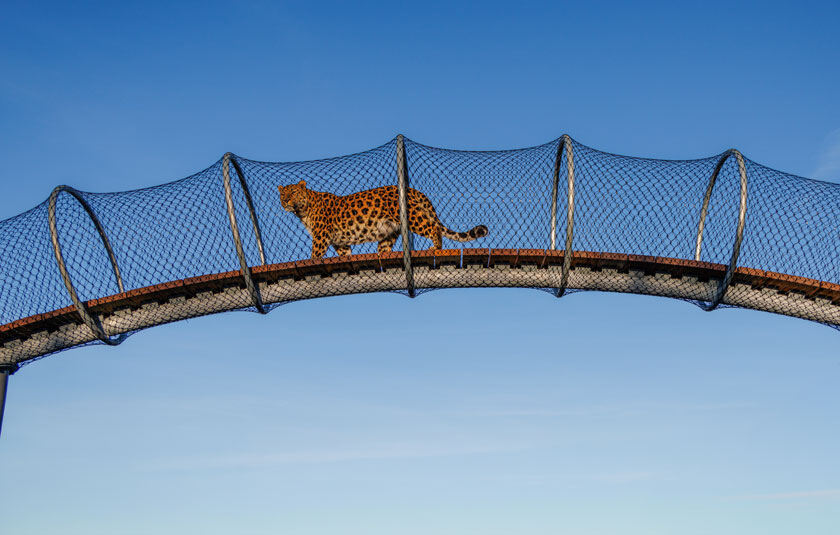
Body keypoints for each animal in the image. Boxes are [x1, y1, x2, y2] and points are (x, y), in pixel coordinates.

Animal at [278, 180, 488, 259]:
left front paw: (312, 260)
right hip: (389, 231)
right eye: (283, 195)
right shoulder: (339, 241)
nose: (286, 201)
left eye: (293, 193)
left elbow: (315, 254)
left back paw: (435, 248)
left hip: (413, 217)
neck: (302, 211)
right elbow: (345, 253)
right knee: (385, 247)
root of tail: (413, 191)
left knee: (433, 228)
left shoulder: (321, 237)